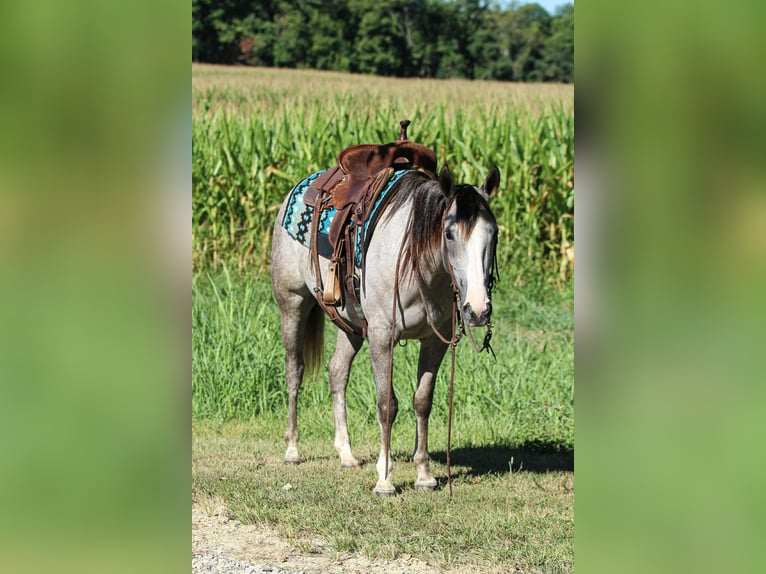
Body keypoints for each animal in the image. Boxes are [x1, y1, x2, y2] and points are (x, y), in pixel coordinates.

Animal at [270, 163, 500, 495]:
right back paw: (292, 450)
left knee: (337, 371)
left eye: (493, 233)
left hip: (351, 325)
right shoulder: (382, 337)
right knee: (294, 370)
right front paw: (385, 478)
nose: (478, 309)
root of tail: (298, 188)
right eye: (449, 233)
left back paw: (346, 454)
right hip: (293, 303)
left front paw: (425, 475)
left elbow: (422, 401)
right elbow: (387, 405)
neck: (419, 269)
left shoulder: (435, 341)